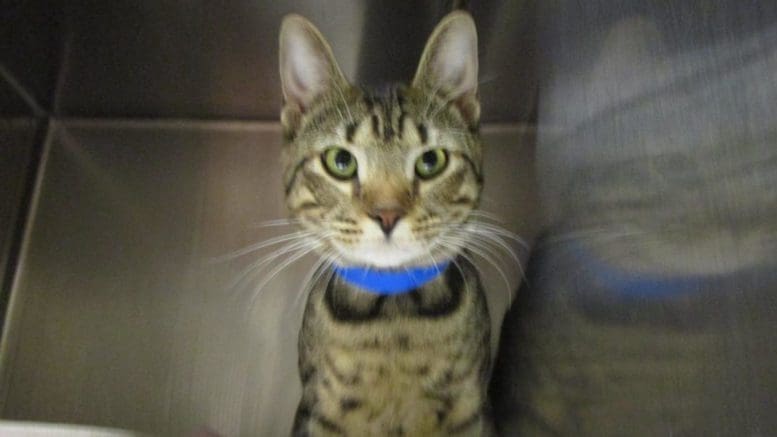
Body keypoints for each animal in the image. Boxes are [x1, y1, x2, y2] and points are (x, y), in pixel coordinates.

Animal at [278, 11, 492, 434]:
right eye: (340, 161)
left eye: (432, 161)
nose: (387, 213)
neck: (394, 316)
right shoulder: (320, 411)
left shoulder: (471, 410)